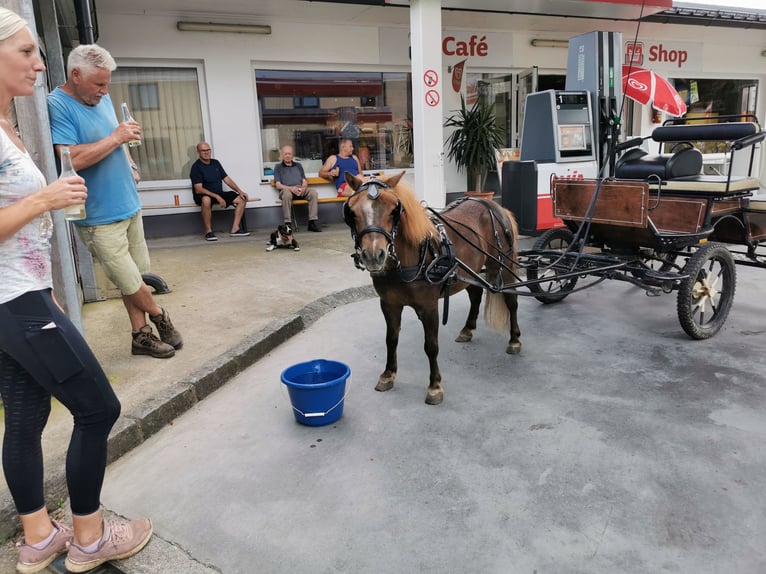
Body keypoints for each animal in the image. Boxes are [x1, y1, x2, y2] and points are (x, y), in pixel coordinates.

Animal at [346, 171, 520, 404]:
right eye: (352, 212)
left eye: (394, 210)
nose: (374, 255)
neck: (409, 258)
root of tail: (494, 205)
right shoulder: (389, 305)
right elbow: (391, 339)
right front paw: (388, 374)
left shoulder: (429, 307)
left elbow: (431, 345)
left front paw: (435, 386)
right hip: (469, 272)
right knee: (475, 295)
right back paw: (467, 329)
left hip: (503, 265)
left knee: (511, 301)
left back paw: (515, 340)